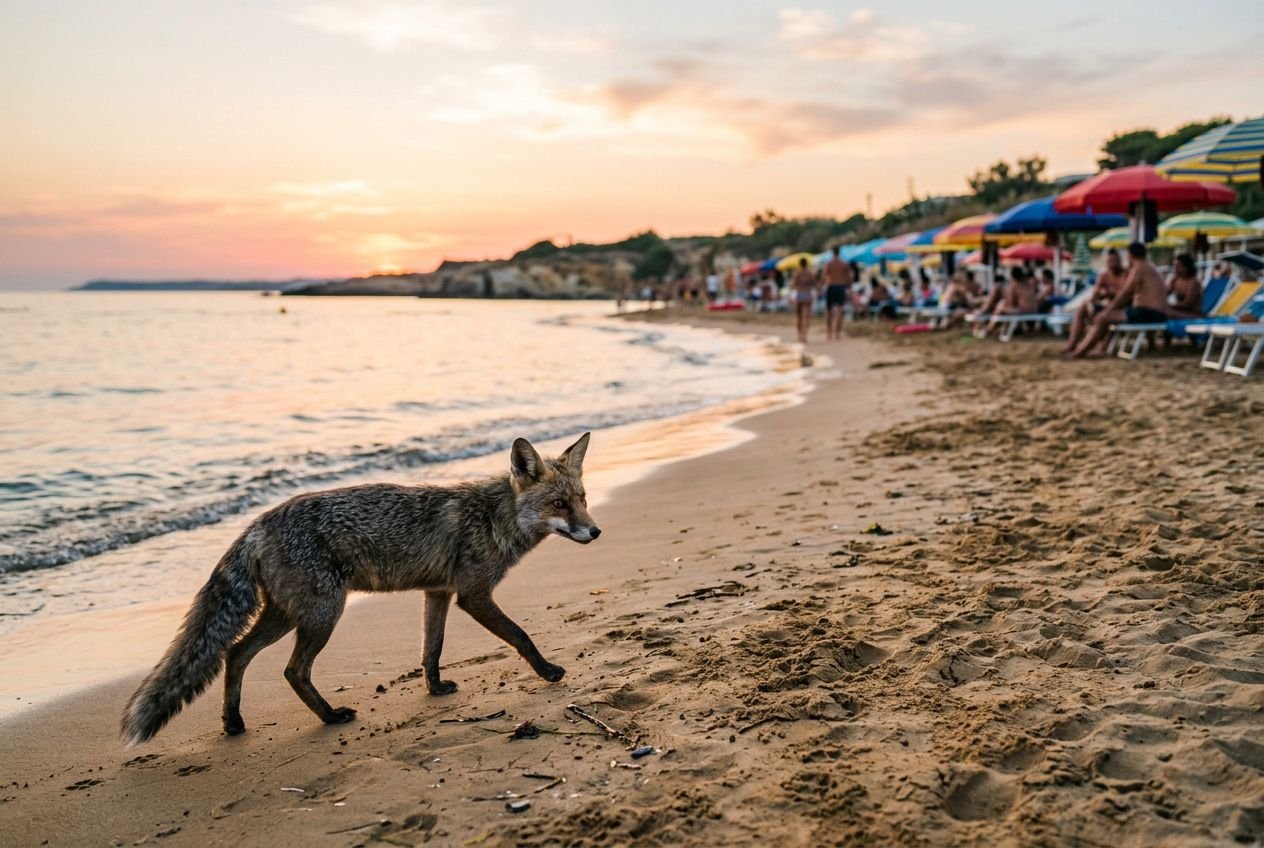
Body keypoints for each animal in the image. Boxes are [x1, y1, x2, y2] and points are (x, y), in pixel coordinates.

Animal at [121, 433, 600, 746]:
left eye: (583, 498)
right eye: (558, 504)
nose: (595, 532)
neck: (492, 517)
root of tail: (258, 523)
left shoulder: (438, 593)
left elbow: (432, 649)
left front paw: (434, 689)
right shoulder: (473, 595)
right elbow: (520, 635)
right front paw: (547, 671)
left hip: (286, 614)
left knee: (234, 653)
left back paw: (234, 723)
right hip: (322, 614)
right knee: (292, 670)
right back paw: (330, 717)